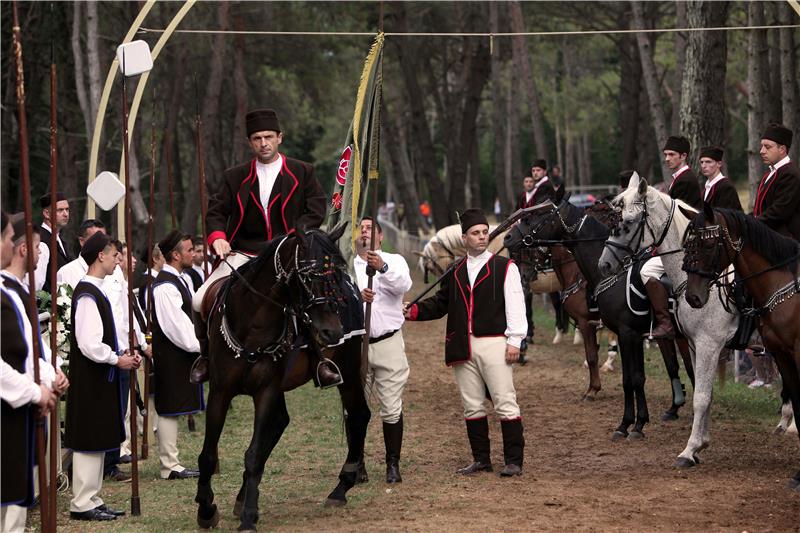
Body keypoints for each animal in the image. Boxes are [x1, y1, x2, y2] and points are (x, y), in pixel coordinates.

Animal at [194, 225, 372, 532]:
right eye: (308, 276)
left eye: (335, 274)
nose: (333, 332)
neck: (254, 324)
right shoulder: (220, 391)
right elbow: (208, 455)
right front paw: (206, 509)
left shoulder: (266, 390)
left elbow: (254, 454)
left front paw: (248, 516)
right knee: (281, 423)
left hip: (348, 369)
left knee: (359, 415)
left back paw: (341, 488)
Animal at [596, 172, 740, 468]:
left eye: (627, 223)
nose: (604, 265)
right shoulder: (692, 343)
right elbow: (701, 391)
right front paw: (698, 444)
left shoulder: (707, 344)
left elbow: (697, 395)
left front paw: (686, 449)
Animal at [680, 205, 800, 490]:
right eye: (688, 245)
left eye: (709, 244)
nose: (693, 297)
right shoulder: (782, 355)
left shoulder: (709, 344)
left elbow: (701, 397)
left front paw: (690, 450)